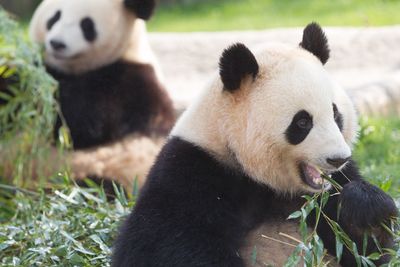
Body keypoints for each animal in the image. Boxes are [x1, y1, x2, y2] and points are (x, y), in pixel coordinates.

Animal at [26, 0, 173, 193]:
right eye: (55, 17)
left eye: (87, 25)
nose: (57, 43)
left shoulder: (130, 84)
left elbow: (82, 124)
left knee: (98, 187)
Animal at [111, 23, 398, 267]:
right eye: (302, 122)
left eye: (336, 113)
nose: (337, 158)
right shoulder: (191, 173)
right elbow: (159, 244)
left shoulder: (328, 193)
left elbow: (363, 251)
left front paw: (366, 208)